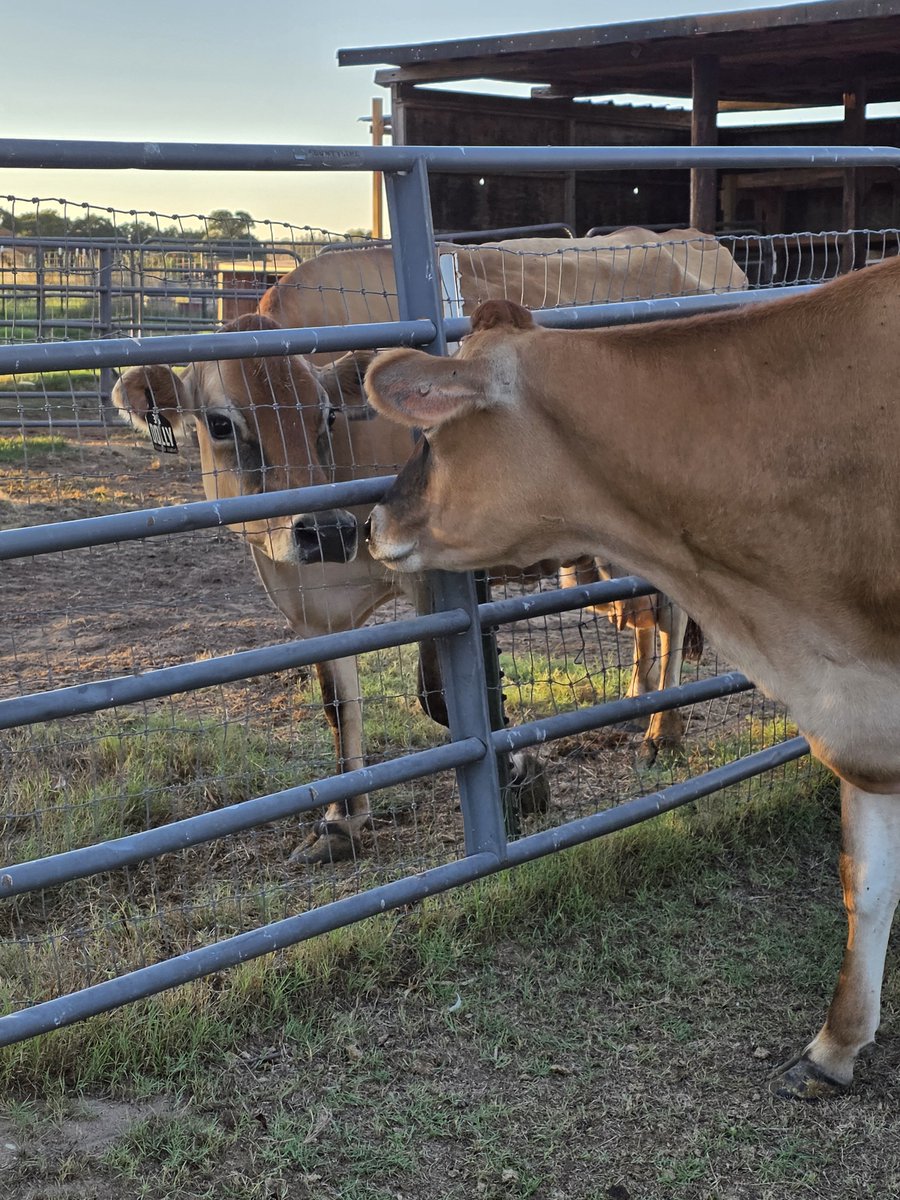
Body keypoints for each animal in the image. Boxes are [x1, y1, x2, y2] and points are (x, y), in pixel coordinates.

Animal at [113, 230, 745, 861]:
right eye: (220, 423)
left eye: (326, 414)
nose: (326, 530)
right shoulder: (309, 609)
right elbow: (337, 705)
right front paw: (340, 823)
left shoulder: (433, 576)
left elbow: (444, 697)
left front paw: (518, 777)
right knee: (648, 616)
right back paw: (639, 705)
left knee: (672, 612)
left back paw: (664, 733)